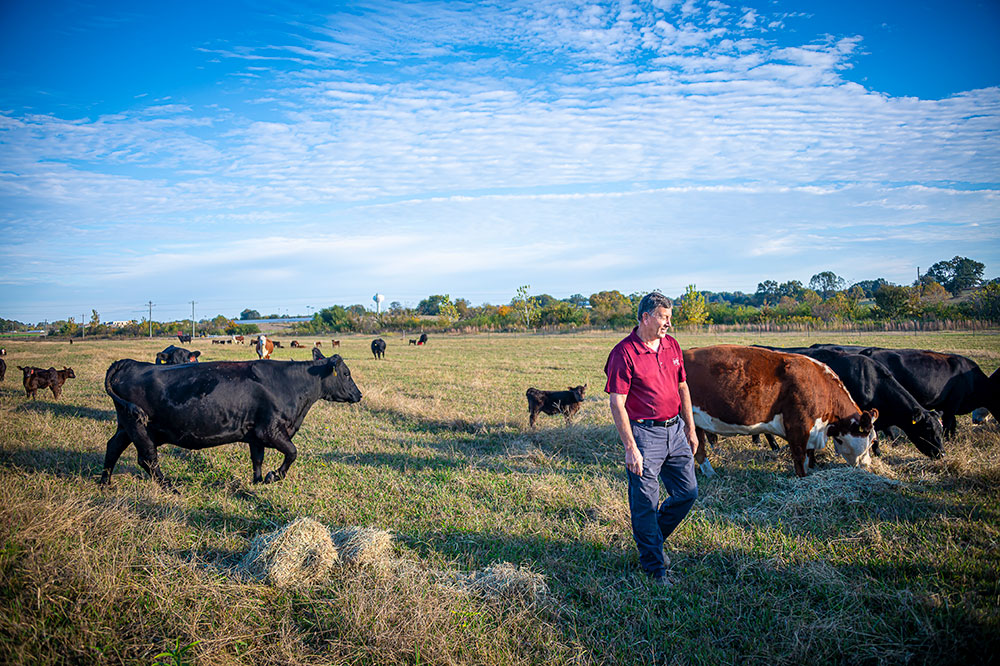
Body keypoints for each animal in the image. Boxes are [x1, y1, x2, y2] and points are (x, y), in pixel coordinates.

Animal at [100, 344, 364, 486]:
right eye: (346, 373)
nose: (359, 394)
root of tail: (130, 363)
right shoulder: (269, 431)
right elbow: (292, 452)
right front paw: (273, 476)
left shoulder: (255, 434)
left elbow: (257, 459)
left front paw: (258, 482)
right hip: (139, 428)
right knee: (147, 459)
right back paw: (170, 487)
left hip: (126, 426)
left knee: (113, 447)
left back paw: (105, 483)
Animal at [688, 342, 876, 478]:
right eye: (873, 440)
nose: (868, 465)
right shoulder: (799, 426)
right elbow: (800, 458)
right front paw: (802, 479)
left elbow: (808, 456)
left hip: (696, 423)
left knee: (699, 450)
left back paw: (710, 473)